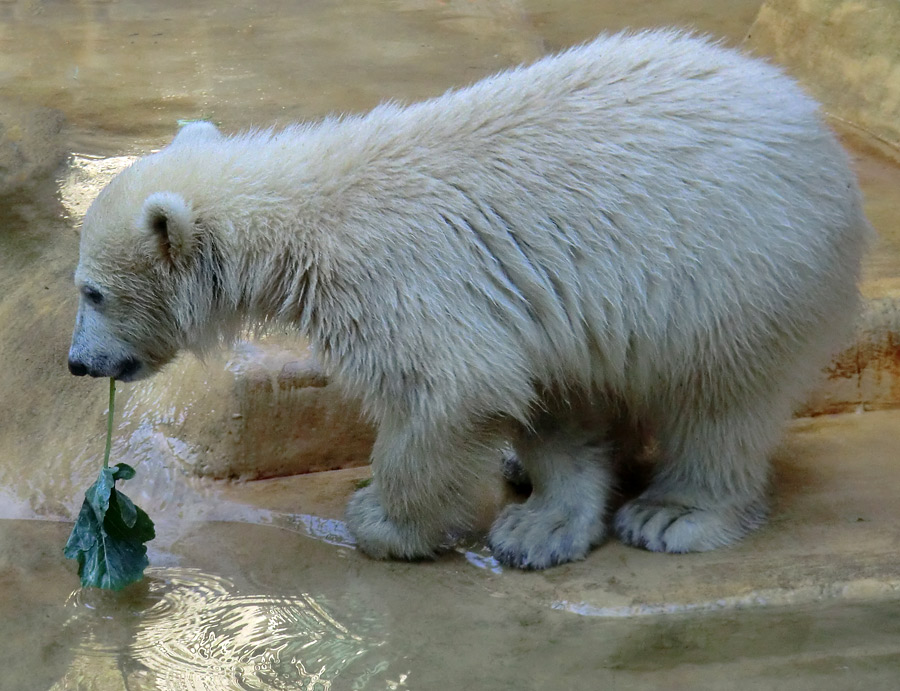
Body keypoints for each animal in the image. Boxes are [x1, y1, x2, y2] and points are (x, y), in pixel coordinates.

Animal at [67, 31, 868, 568]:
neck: (304, 214)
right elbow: (542, 395)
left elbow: (450, 389)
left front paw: (381, 519)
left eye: (92, 291)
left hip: (741, 270)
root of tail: (816, 128)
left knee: (721, 398)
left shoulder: (400, 277)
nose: (77, 363)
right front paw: (539, 526)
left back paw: (672, 513)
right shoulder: (523, 303)